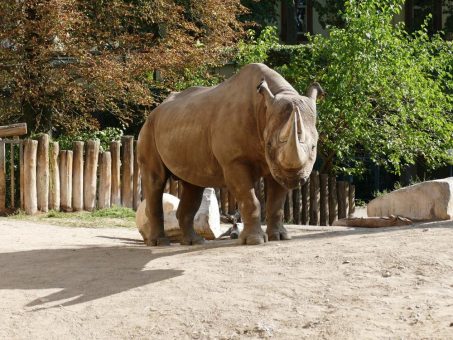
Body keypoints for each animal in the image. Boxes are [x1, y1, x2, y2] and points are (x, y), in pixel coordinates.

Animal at [136, 63, 324, 244]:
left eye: (314, 147)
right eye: (269, 144)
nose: (294, 177)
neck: (264, 110)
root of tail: (156, 109)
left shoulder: (276, 166)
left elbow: (276, 203)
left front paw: (280, 237)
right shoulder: (234, 161)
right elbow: (250, 200)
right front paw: (254, 241)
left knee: (193, 186)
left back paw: (194, 242)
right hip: (149, 128)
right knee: (155, 180)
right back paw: (160, 243)